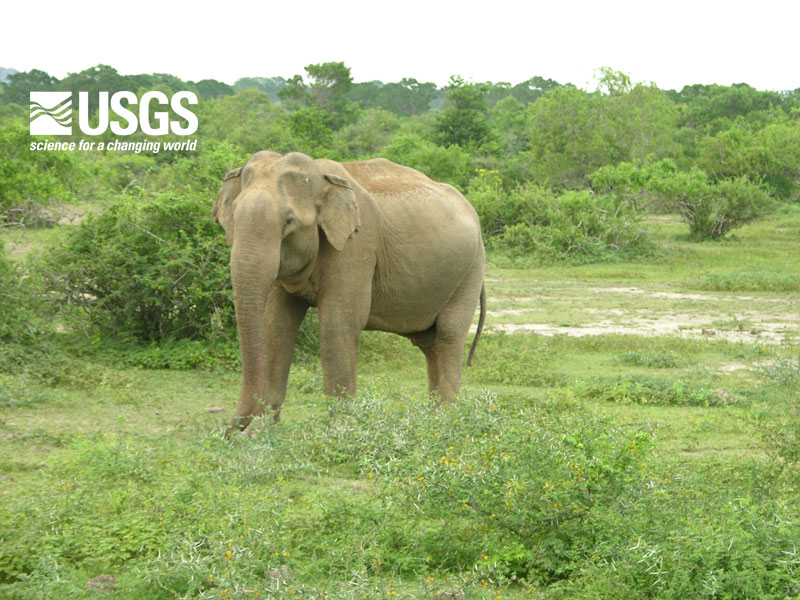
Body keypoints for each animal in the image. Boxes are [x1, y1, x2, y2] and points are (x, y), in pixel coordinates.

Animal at [212, 151, 486, 432]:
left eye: (289, 221)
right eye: (233, 215)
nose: (229, 432)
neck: (320, 178)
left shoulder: (357, 246)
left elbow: (337, 326)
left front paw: (340, 431)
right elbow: (276, 325)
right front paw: (260, 432)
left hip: (472, 268)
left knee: (449, 333)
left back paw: (446, 421)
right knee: (429, 343)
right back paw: (432, 420)